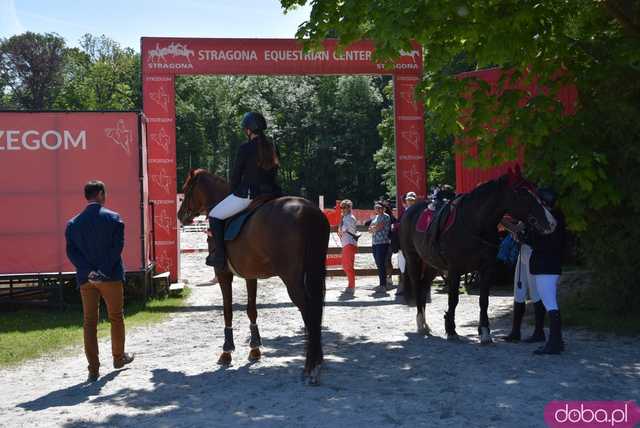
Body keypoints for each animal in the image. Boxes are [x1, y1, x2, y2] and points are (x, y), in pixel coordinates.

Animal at [176, 168, 330, 384]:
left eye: (186, 190)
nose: (180, 215)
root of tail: (309, 212)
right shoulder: (250, 275)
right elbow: (251, 310)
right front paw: (255, 349)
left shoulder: (223, 274)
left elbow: (227, 310)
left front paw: (226, 352)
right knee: (316, 311)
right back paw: (317, 362)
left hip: (292, 278)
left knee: (308, 311)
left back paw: (310, 368)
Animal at [400, 168, 556, 344]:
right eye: (522, 192)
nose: (551, 222)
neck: (473, 223)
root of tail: (409, 211)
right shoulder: (454, 270)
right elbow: (453, 299)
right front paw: (451, 330)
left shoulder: (486, 268)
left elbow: (484, 300)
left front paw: (485, 332)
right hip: (413, 259)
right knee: (417, 285)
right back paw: (420, 324)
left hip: (432, 264)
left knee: (423, 286)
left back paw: (426, 325)